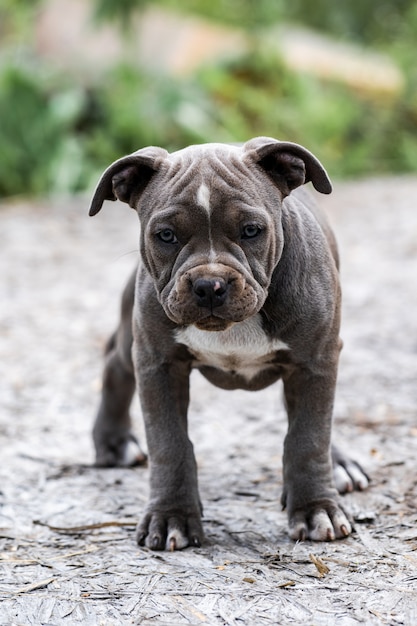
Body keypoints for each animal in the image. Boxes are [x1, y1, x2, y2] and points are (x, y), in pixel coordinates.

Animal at [88, 138, 368, 552]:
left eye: (251, 230)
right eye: (166, 235)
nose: (209, 285)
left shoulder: (314, 361)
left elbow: (308, 437)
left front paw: (316, 509)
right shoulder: (159, 363)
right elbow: (169, 443)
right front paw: (171, 517)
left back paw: (339, 465)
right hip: (133, 343)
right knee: (115, 363)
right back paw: (113, 442)